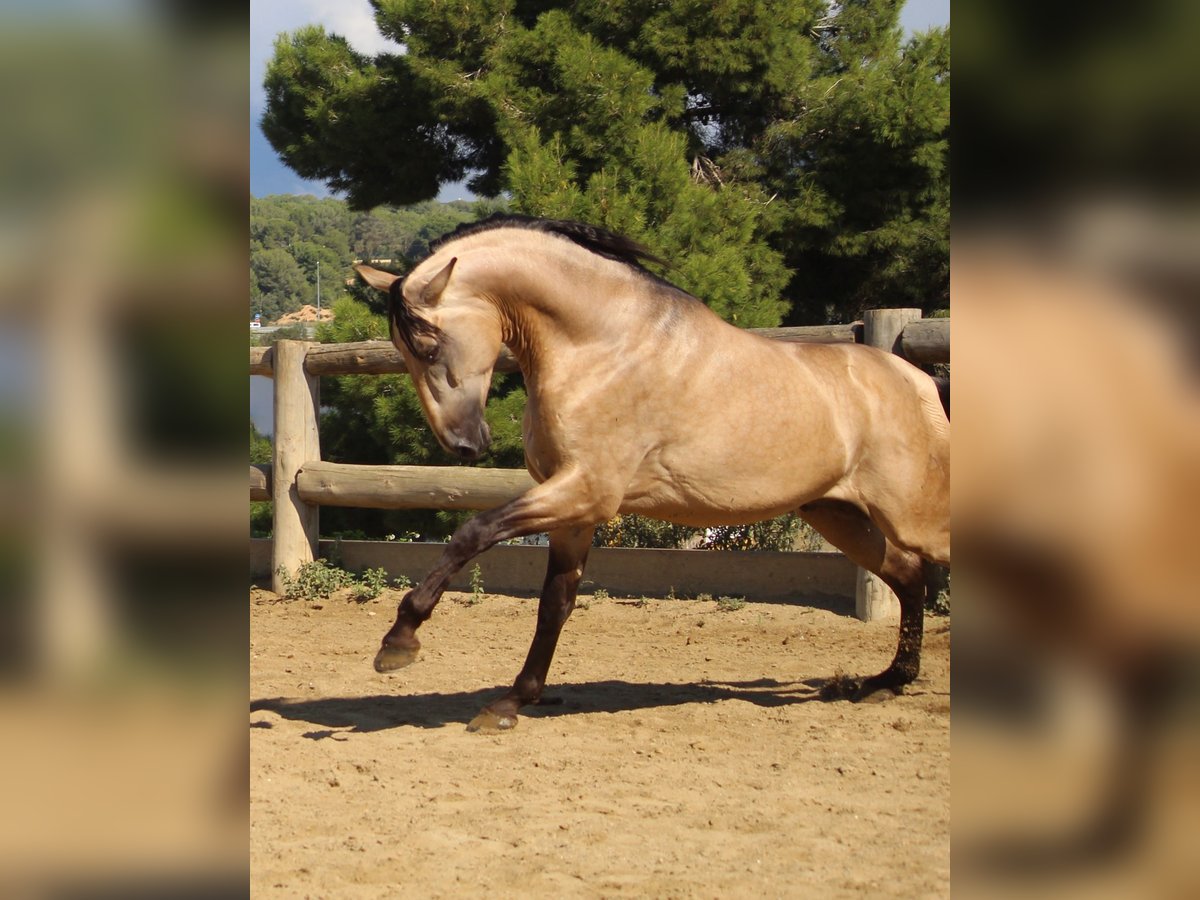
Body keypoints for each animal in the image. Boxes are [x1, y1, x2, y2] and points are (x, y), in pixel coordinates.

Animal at [350, 214, 950, 734]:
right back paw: (886, 682)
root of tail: (918, 380)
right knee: (907, 576)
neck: (602, 348)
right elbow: (554, 604)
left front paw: (398, 643)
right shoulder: (574, 510)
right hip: (837, 515)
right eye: (402, 348)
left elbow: (471, 533)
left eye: (428, 343)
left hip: (910, 515)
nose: (465, 444)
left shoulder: (587, 491)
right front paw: (510, 703)